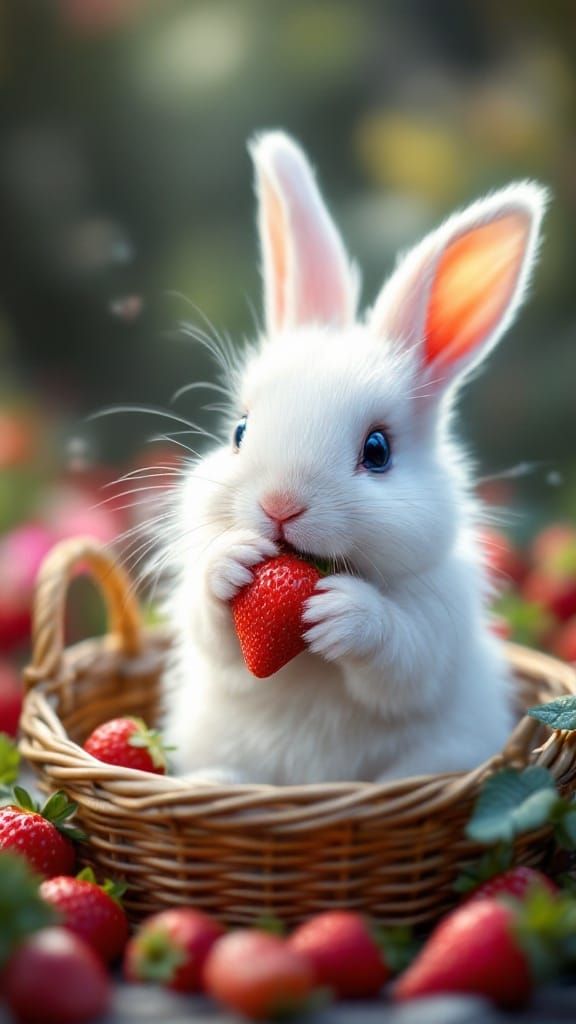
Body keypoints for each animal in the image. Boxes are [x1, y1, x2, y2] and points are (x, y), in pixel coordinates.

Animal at [160, 130, 547, 786]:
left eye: (378, 450)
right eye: (240, 430)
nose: (279, 505)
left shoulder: (435, 625)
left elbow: (399, 655)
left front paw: (344, 614)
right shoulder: (219, 648)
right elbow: (213, 629)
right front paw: (232, 561)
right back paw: (215, 784)